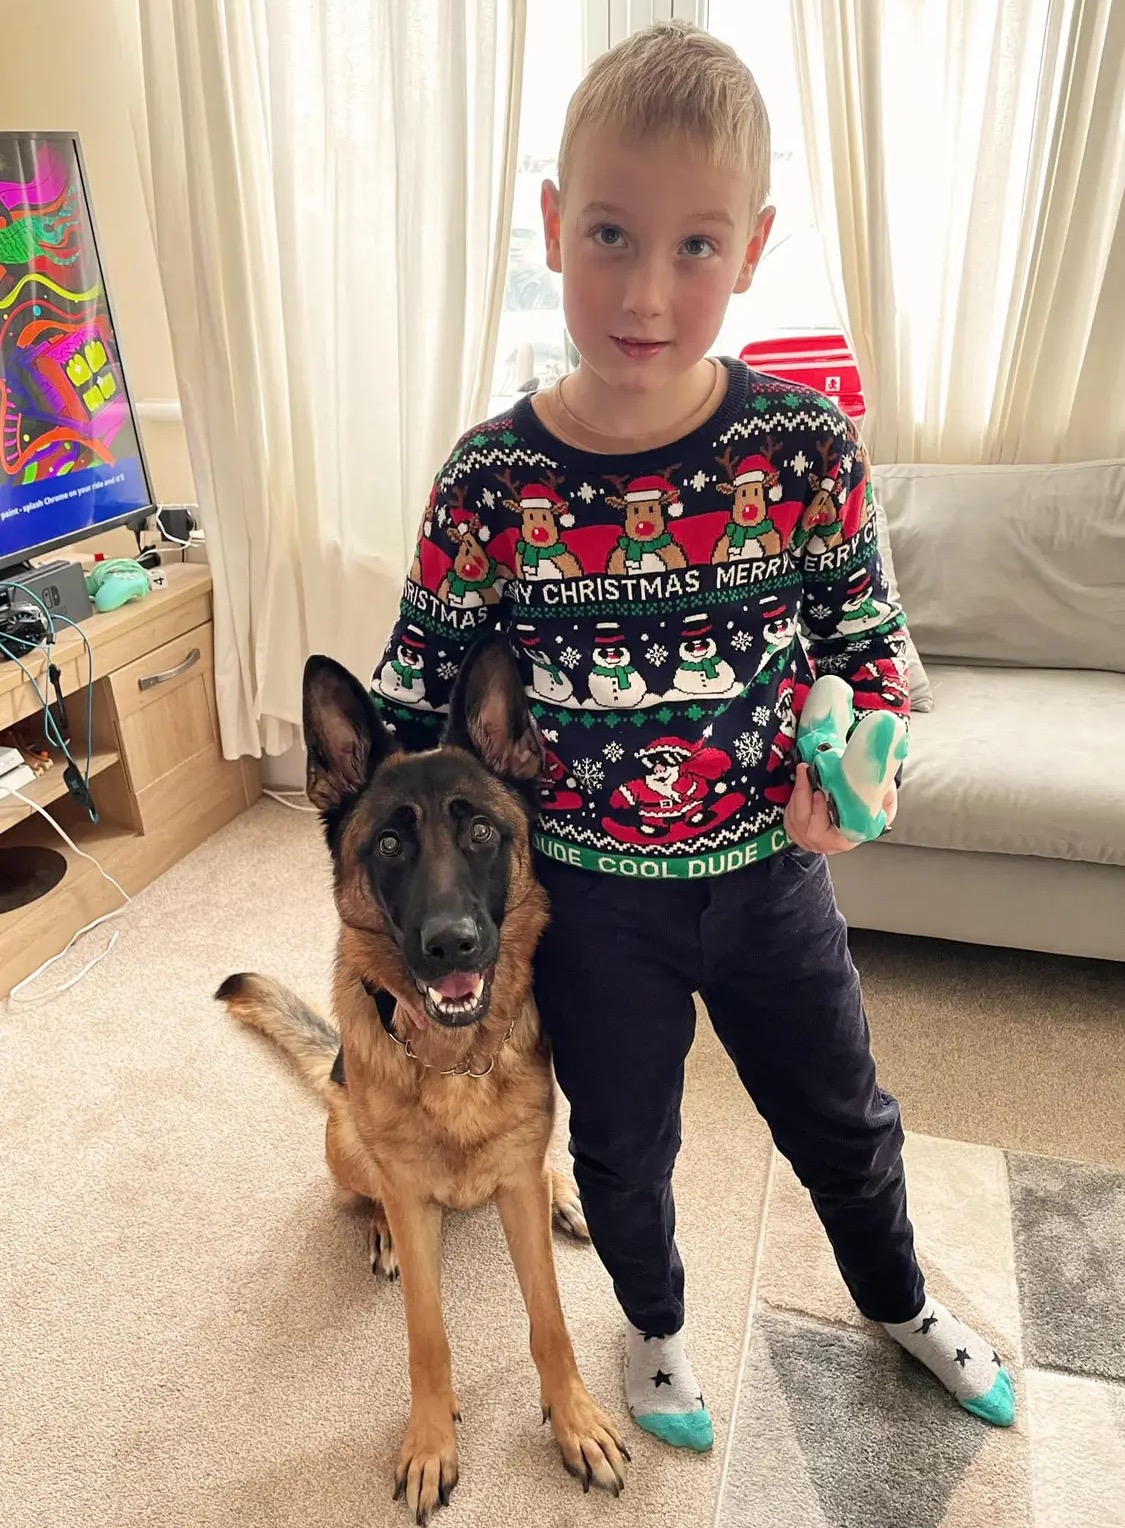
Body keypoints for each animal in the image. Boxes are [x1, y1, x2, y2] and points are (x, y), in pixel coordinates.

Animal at [215, 632, 629, 1515]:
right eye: (389, 845)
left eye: (480, 833)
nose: (451, 945)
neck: (453, 1060)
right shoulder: (408, 1197)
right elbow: (426, 1338)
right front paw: (432, 1441)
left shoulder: (514, 1192)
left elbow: (550, 1323)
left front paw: (573, 1418)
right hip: (342, 1136)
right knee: (363, 1188)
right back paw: (375, 1229)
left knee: (544, 1164)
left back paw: (565, 1192)